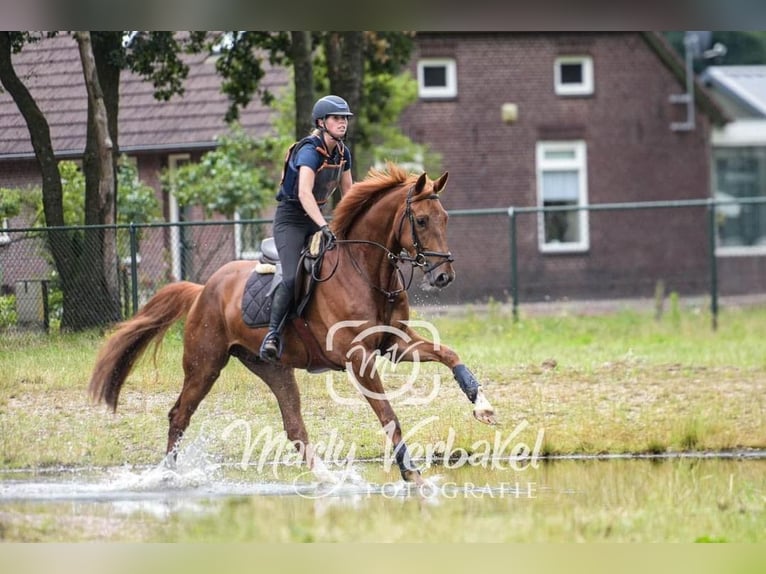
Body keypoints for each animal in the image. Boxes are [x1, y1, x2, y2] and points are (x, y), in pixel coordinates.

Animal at [90, 163, 498, 486]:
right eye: (422, 220)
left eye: (445, 219)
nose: (444, 276)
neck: (367, 270)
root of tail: (203, 288)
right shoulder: (359, 359)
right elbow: (388, 416)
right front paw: (410, 472)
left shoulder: (396, 345)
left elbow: (449, 354)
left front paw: (482, 406)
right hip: (204, 365)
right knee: (180, 414)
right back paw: (167, 476)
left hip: (273, 369)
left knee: (294, 425)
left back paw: (328, 478)